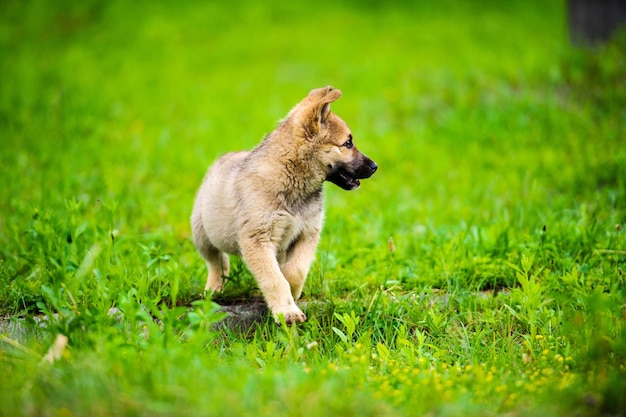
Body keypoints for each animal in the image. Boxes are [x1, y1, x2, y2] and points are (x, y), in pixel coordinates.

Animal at [190, 86, 376, 324]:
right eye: (348, 143)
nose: (375, 166)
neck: (293, 180)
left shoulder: (307, 233)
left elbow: (294, 271)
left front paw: (292, 293)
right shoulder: (258, 238)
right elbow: (274, 279)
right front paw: (287, 311)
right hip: (203, 235)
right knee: (217, 262)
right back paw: (214, 289)